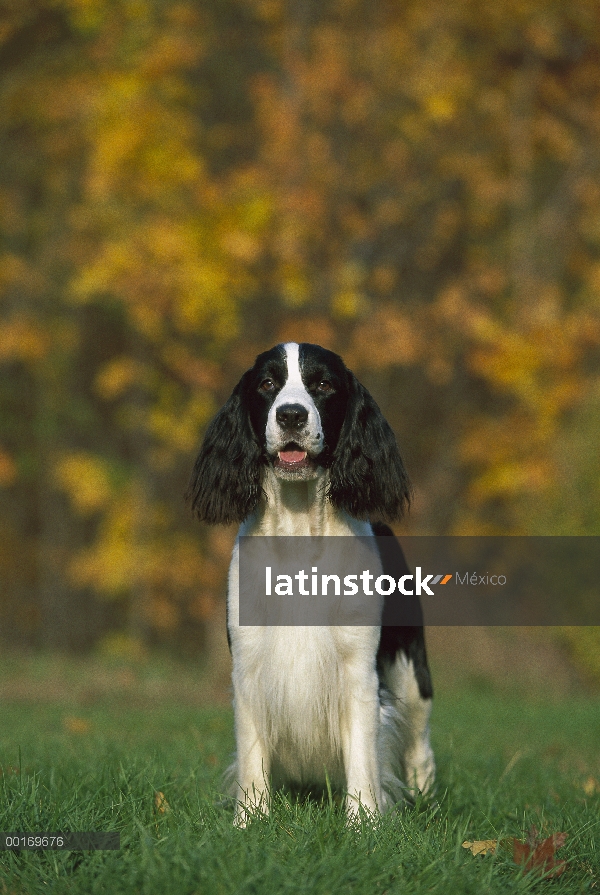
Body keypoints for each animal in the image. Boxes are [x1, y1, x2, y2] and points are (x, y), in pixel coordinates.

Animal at [185, 344, 434, 824]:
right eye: (267, 383)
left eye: (322, 384)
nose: (291, 415)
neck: (300, 537)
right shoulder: (249, 666)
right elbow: (252, 754)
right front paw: (250, 821)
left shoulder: (359, 668)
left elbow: (363, 755)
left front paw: (363, 824)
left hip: (410, 671)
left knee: (419, 741)